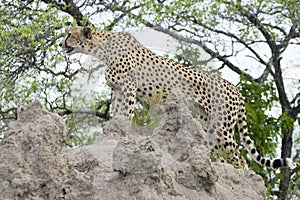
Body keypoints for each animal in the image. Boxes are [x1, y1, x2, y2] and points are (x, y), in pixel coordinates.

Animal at [59, 25, 292, 169]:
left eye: (69, 34)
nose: (61, 44)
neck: (101, 48)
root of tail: (235, 88)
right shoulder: (117, 89)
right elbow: (118, 113)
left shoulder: (128, 87)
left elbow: (126, 112)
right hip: (206, 121)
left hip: (223, 128)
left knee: (239, 158)